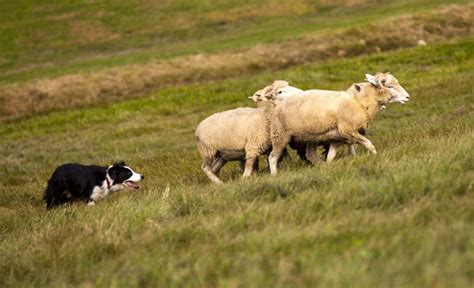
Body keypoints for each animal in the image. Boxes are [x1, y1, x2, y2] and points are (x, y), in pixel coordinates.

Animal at [268, 73, 410, 174]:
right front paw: (376, 156)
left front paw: (330, 165)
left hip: (310, 137)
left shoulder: (338, 137)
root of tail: (277, 107)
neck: (359, 101)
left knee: (310, 155)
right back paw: (275, 176)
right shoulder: (347, 130)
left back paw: (322, 166)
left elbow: (331, 156)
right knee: (272, 157)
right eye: (390, 86)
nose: (407, 97)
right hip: (280, 136)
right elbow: (369, 144)